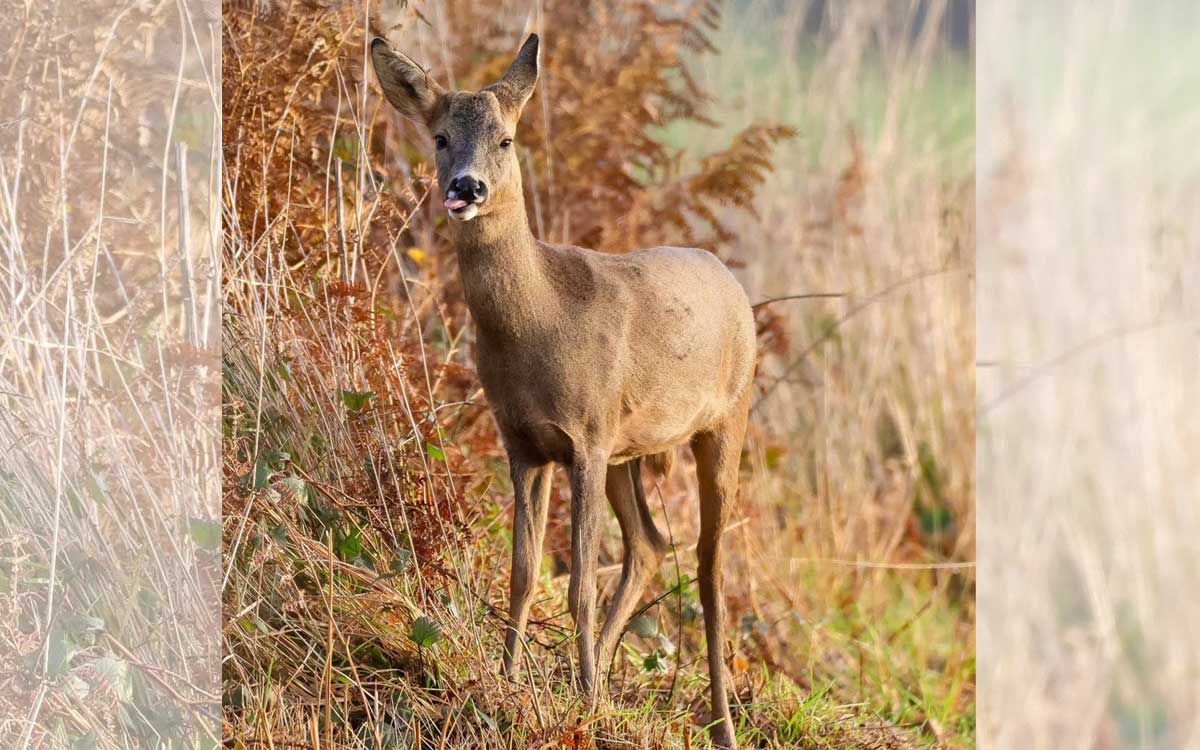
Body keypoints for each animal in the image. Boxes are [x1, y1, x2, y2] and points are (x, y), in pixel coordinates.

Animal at [369, 33, 753, 744]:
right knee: (650, 545)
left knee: (711, 569)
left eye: (507, 139)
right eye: (440, 137)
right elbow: (521, 574)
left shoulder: (587, 437)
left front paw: (577, 699)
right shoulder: (525, 443)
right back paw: (598, 679)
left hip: (723, 420)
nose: (466, 186)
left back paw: (717, 724)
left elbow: (576, 586)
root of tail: (730, 277)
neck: (539, 323)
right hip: (629, 447)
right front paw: (512, 681)